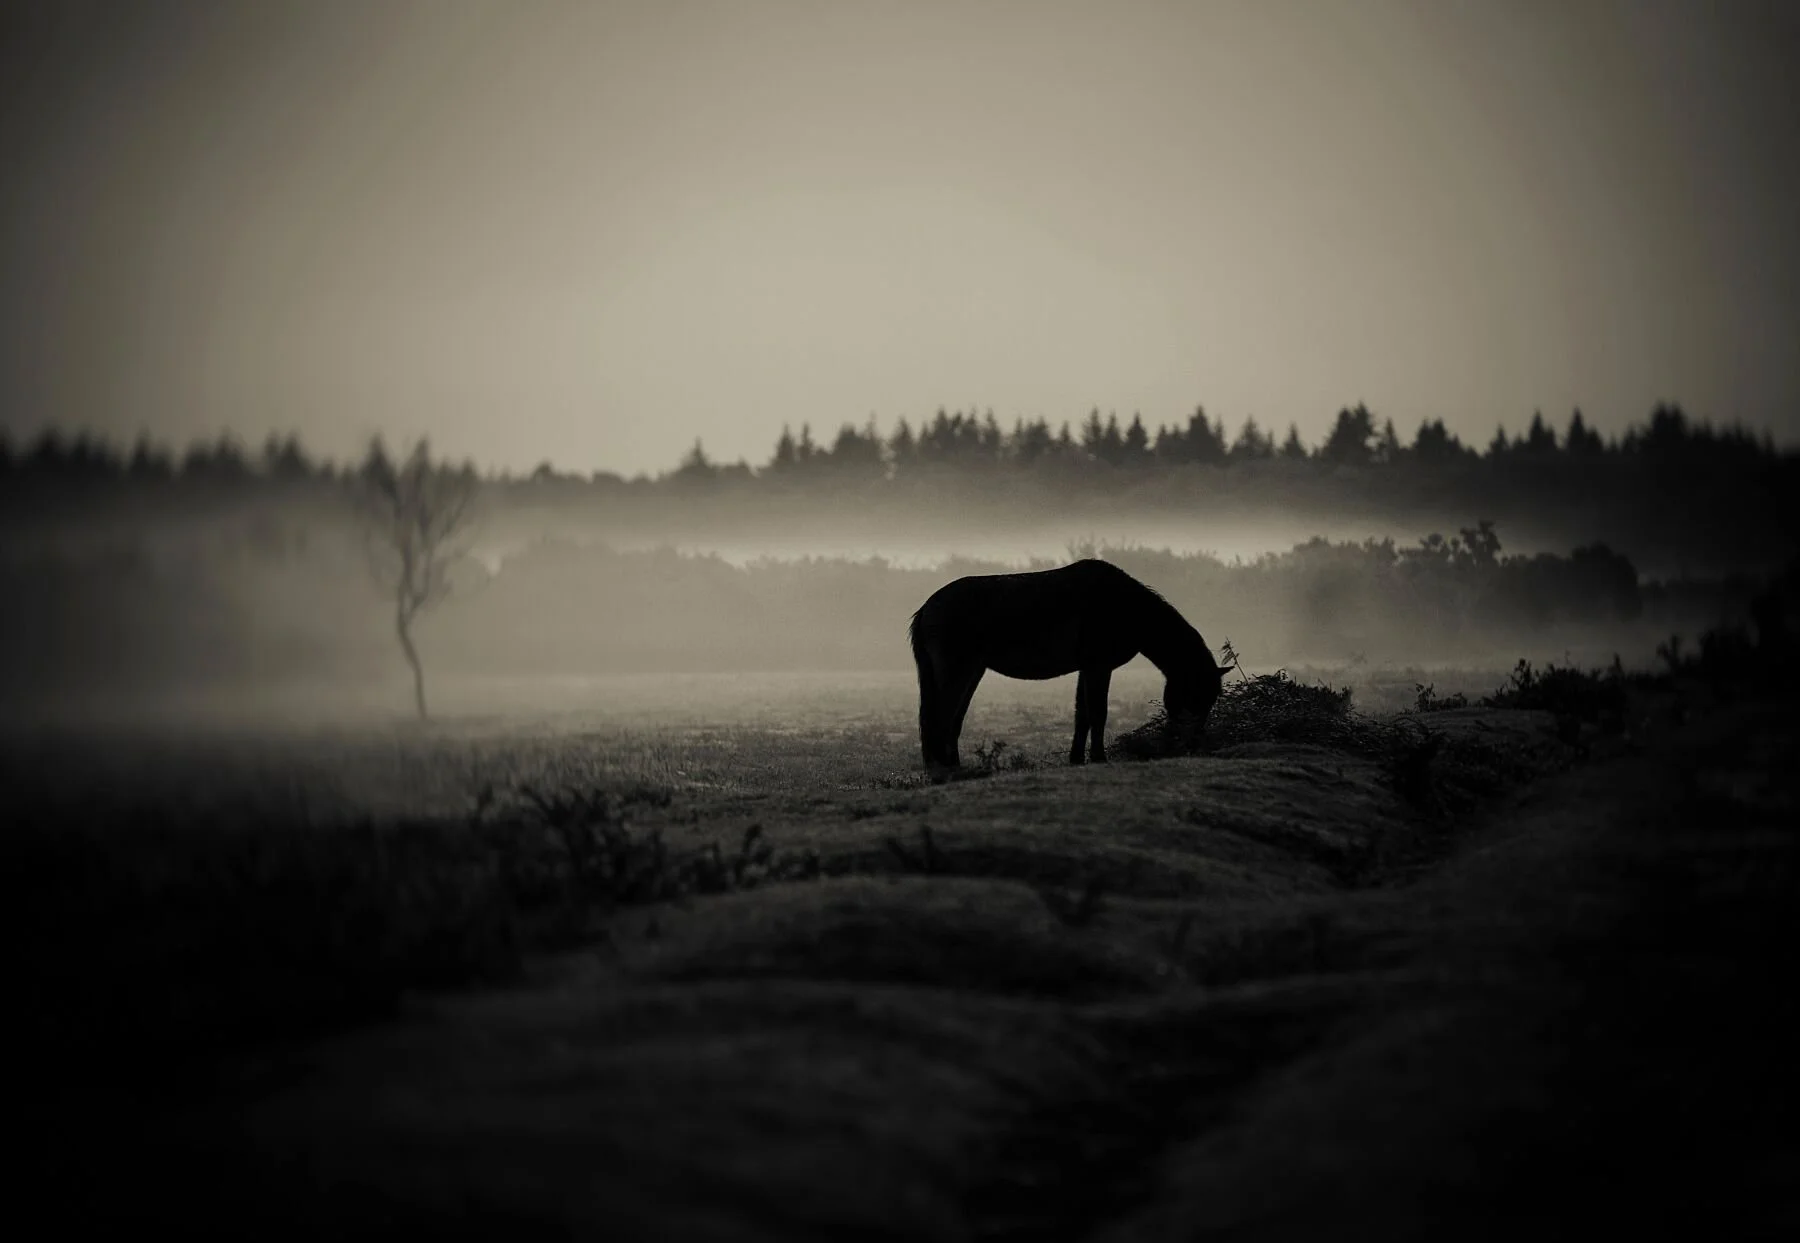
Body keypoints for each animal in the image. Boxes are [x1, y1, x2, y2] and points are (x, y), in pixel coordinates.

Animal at [908, 558, 1227, 770]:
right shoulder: (1098, 667)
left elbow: (1082, 715)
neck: (1127, 605)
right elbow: (1098, 713)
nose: (1192, 744)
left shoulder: (1086, 669)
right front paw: (1099, 758)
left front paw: (1076, 759)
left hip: (972, 672)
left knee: (953, 720)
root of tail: (926, 608)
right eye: (1197, 694)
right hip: (957, 671)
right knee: (940, 718)